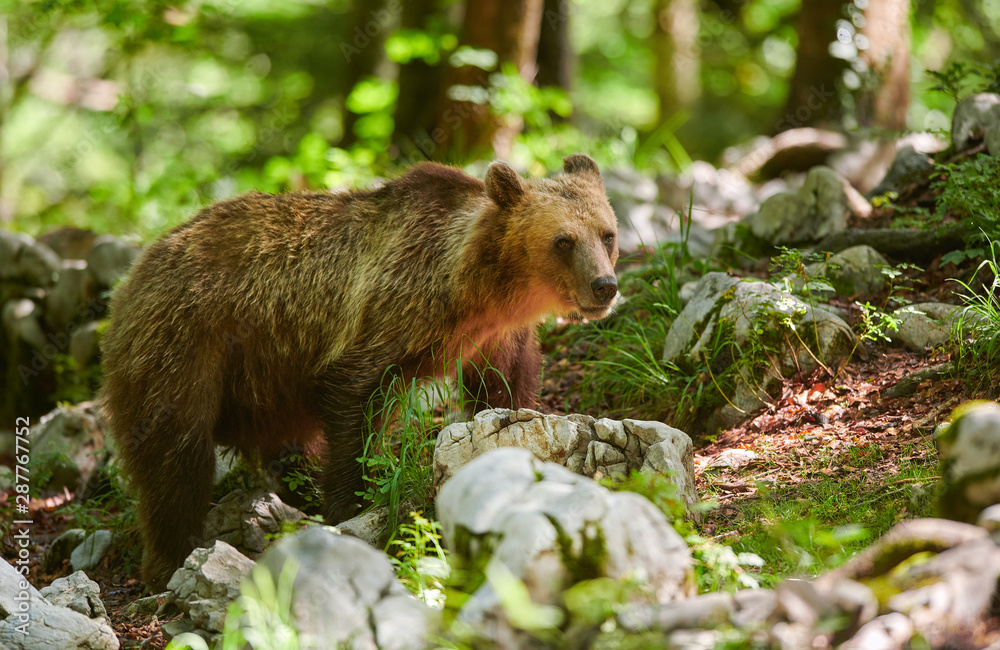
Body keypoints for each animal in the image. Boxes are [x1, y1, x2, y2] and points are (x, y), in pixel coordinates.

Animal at [100, 154, 619, 590]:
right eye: (563, 240)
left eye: (607, 233)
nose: (605, 286)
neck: (478, 289)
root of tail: (136, 270)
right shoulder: (392, 309)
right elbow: (354, 397)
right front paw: (352, 505)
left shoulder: (496, 338)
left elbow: (502, 394)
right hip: (185, 341)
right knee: (177, 451)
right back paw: (171, 557)